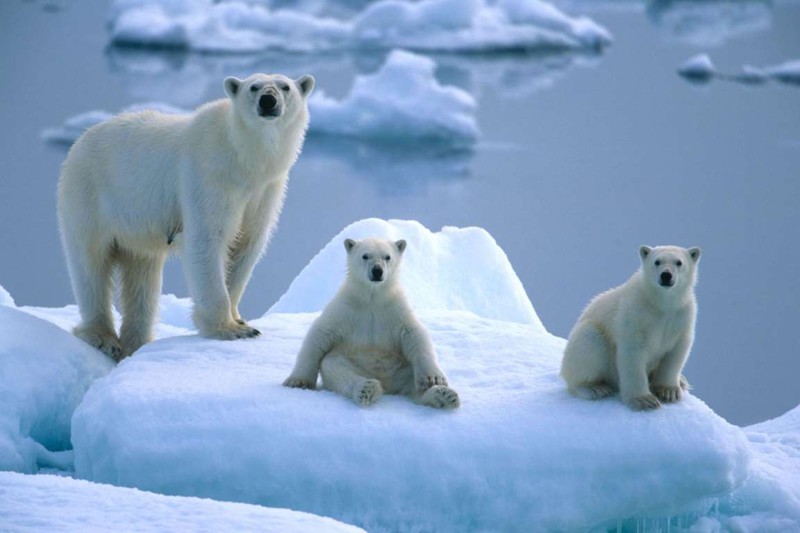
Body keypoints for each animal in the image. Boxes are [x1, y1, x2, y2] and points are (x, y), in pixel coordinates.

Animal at [57, 72, 314, 360]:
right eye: (254, 87)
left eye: (285, 86)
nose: (268, 101)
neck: (243, 159)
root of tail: (79, 141)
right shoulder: (209, 176)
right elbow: (208, 239)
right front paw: (230, 330)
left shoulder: (265, 191)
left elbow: (247, 245)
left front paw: (239, 319)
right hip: (90, 195)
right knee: (91, 264)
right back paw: (103, 338)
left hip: (135, 226)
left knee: (142, 276)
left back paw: (137, 342)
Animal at [282, 237, 460, 408]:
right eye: (365, 256)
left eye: (387, 257)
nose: (377, 270)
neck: (372, 298)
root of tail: (388, 385)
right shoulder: (345, 308)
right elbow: (320, 333)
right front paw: (297, 381)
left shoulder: (395, 308)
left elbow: (414, 334)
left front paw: (434, 379)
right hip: (353, 362)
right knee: (334, 367)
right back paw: (367, 388)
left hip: (402, 366)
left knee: (413, 382)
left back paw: (444, 395)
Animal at [560, 243, 704, 410]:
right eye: (657, 261)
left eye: (679, 262)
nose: (666, 275)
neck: (661, 303)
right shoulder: (636, 313)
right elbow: (633, 353)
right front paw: (644, 400)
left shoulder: (682, 315)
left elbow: (676, 352)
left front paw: (669, 391)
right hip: (588, 340)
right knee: (589, 343)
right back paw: (593, 388)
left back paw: (682, 381)